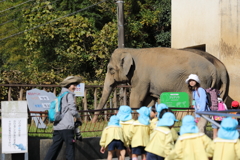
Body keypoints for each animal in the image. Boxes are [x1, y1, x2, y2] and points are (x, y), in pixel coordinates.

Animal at [92, 47, 229, 121]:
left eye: (110, 69)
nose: (93, 122)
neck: (132, 51)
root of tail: (214, 69)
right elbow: (148, 100)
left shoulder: (141, 76)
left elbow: (137, 97)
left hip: (201, 81)